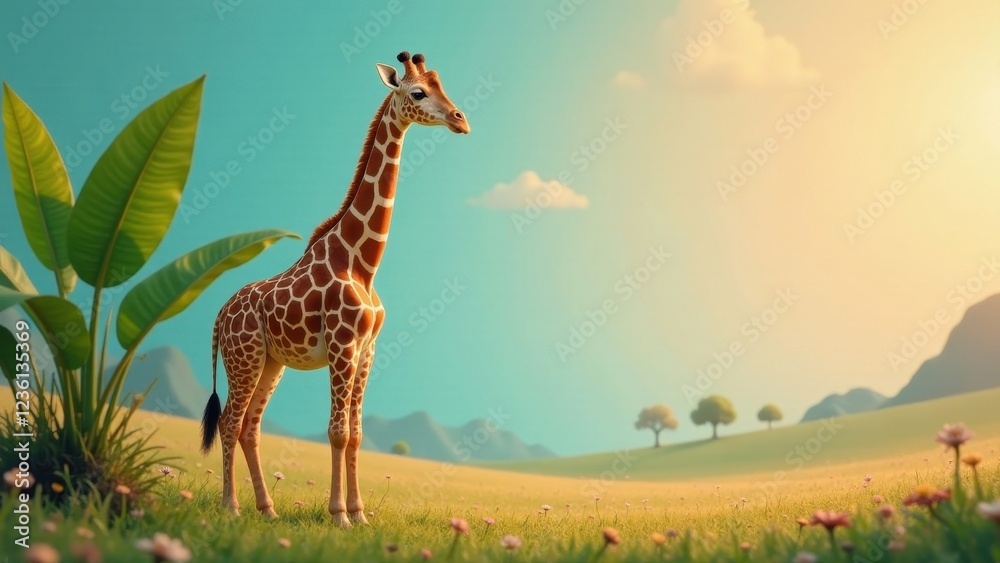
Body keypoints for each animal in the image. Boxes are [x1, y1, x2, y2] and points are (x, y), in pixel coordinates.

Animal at [199, 51, 469, 527]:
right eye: (418, 92)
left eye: (443, 86)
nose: (461, 119)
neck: (363, 264)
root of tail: (218, 316)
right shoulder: (343, 346)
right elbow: (337, 432)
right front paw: (338, 515)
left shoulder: (367, 350)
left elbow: (357, 434)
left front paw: (359, 515)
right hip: (243, 357)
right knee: (231, 421)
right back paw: (231, 507)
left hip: (272, 362)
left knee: (250, 425)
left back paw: (267, 509)